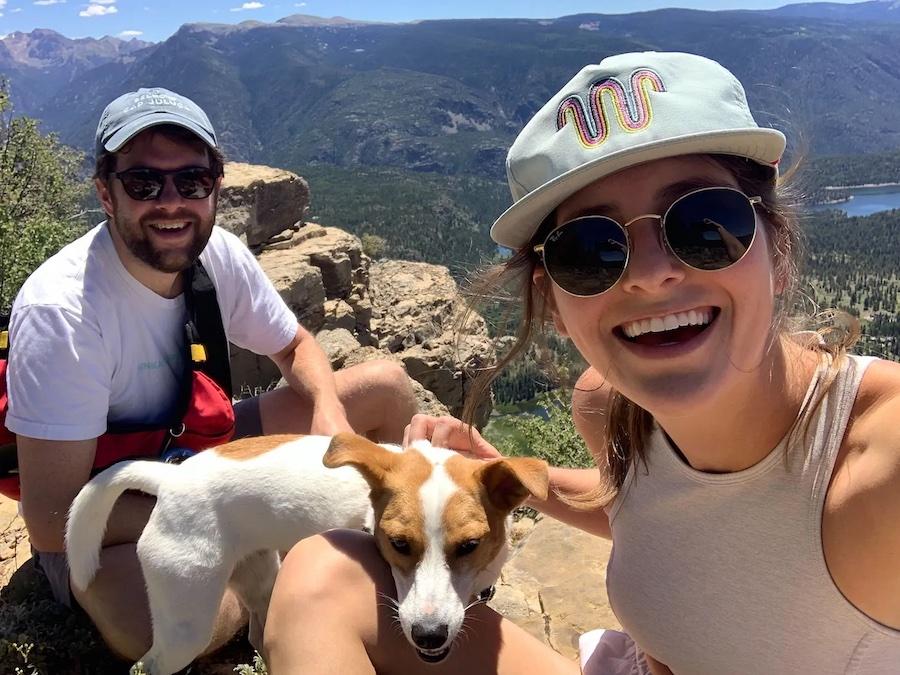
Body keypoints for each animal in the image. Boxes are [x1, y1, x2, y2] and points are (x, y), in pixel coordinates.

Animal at [65, 434, 548, 675]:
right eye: (397, 544)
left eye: (468, 546)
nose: (428, 635)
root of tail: (169, 478)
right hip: (187, 622)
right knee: (148, 665)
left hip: (263, 577)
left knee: (258, 635)